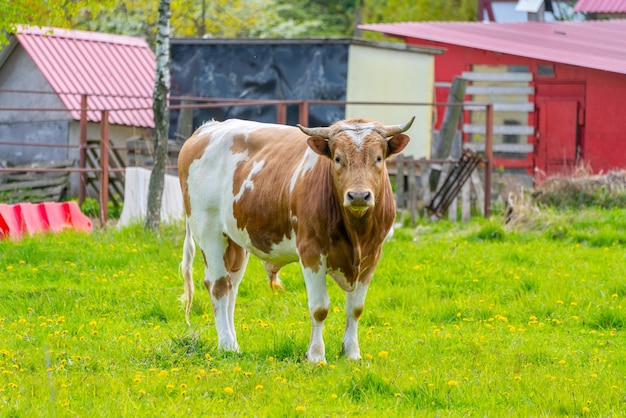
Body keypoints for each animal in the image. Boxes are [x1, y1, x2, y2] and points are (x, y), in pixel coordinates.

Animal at [177, 116, 410, 360]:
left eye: (378, 158)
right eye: (338, 158)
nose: (358, 196)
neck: (356, 233)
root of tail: (207, 128)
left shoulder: (372, 254)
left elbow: (355, 308)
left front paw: (351, 353)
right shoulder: (311, 251)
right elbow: (319, 308)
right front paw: (316, 356)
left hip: (236, 243)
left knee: (232, 287)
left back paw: (234, 345)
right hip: (209, 231)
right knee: (219, 286)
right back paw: (226, 344)